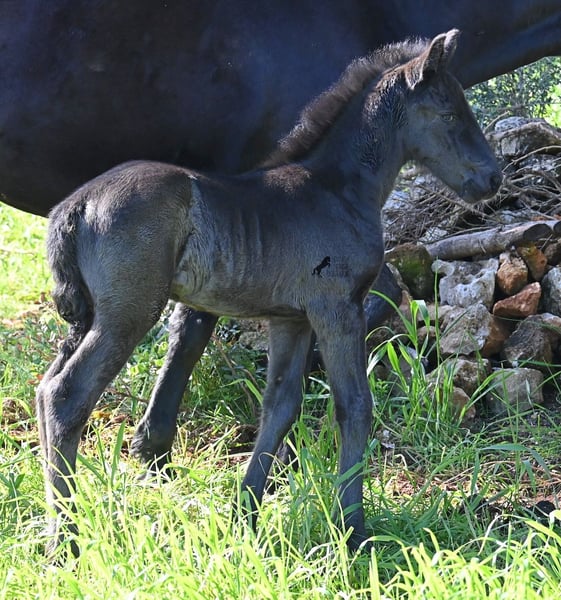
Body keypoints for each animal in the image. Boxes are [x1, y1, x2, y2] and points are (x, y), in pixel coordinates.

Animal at [37, 30, 501, 554]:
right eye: (449, 114)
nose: (492, 178)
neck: (336, 190)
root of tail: (74, 205)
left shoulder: (291, 319)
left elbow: (280, 406)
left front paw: (245, 515)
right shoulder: (337, 308)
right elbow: (354, 405)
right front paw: (353, 528)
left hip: (86, 316)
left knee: (45, 388)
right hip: (127, 314)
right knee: (66, 395)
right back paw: (67, 540)